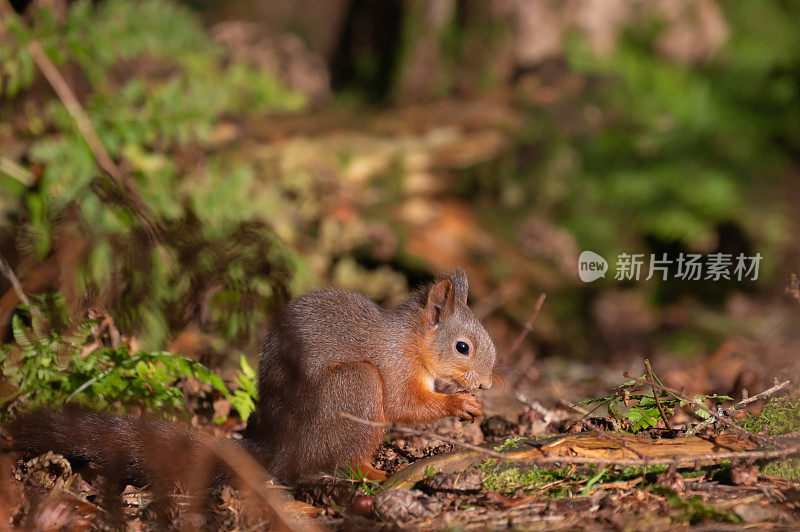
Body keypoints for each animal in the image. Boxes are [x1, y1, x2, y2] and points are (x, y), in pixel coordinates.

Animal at [6, 272, 494, 484]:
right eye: (462, 347)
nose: (488, 385)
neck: (412, 342)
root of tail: (281, 451)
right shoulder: (392, 366)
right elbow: (404, 405)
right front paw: (459, 403)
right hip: (355, 386)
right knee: (333, 459)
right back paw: (370, 470)